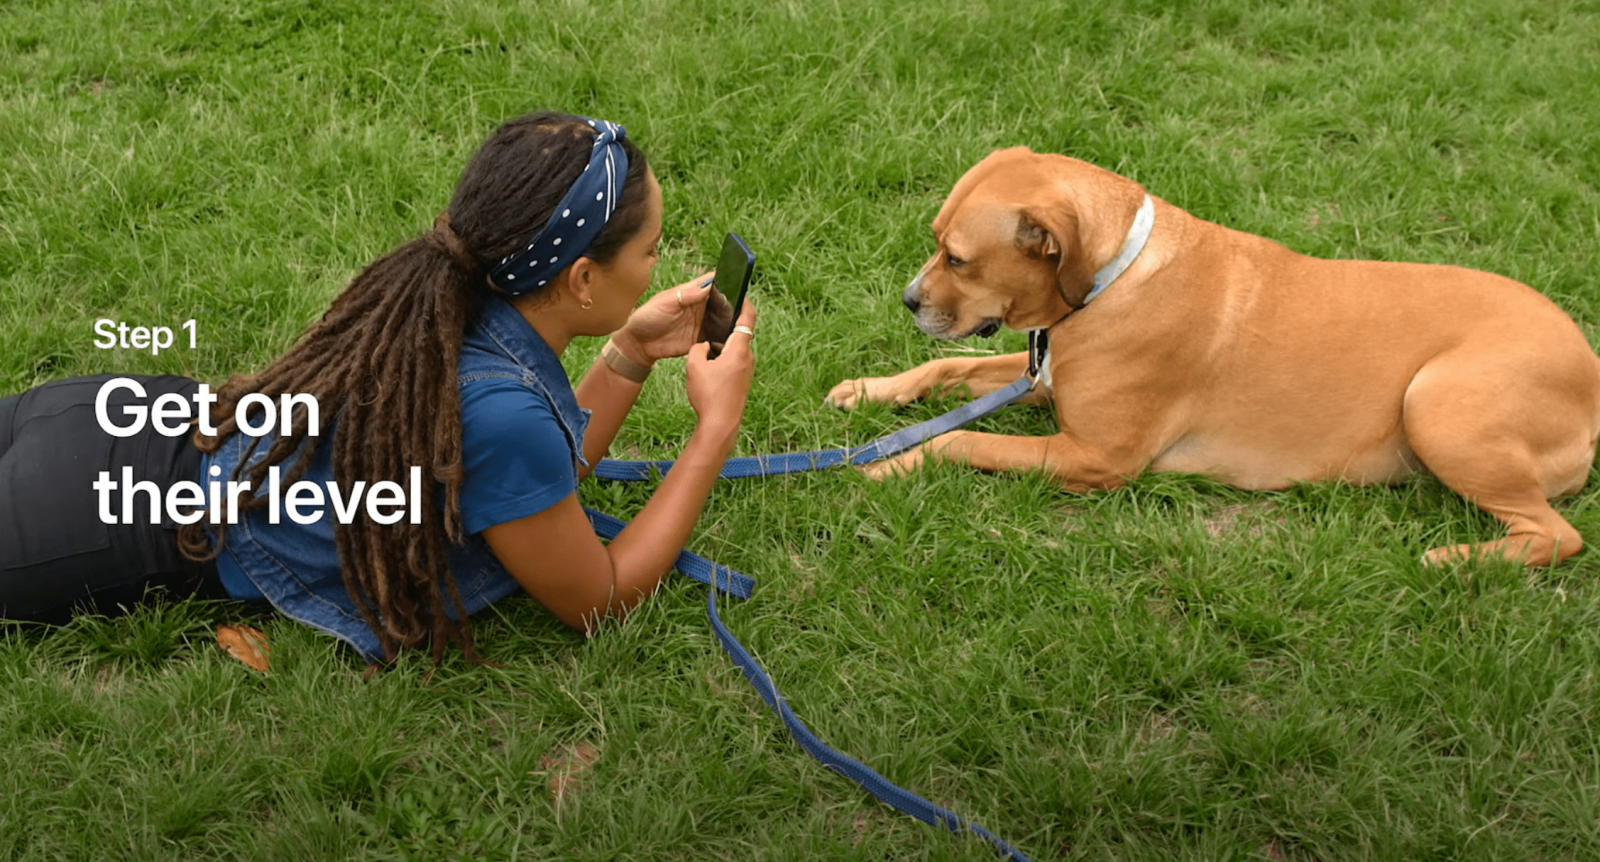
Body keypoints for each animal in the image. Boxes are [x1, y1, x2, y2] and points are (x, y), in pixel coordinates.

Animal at [826, 147, 1600, 566]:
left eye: (958, 258)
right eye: (935, 240)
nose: (908, 300)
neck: (1110, 278)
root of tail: (1589, 366)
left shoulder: (1093, 458)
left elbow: (960, 441)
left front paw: (891, 462)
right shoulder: (1043, 378)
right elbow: (944, 370)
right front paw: (871, 389)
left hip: (1437, 403)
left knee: (1557, 536)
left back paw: (1460, 562)